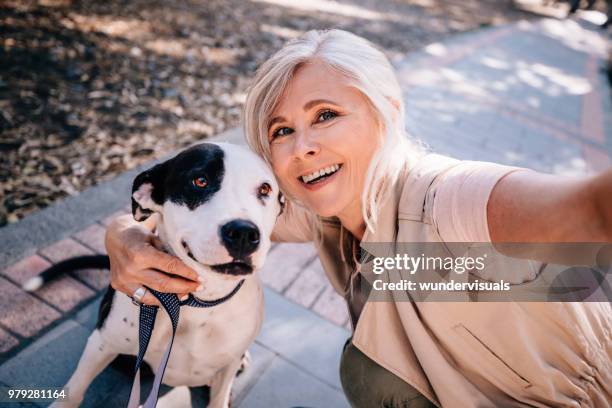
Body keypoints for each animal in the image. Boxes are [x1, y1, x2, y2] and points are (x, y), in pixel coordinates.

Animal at [22, 142, 284, 406]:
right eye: (200, 181)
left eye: (265, 189)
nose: (243, 233)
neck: (199, 303)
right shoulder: (102, 343)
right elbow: (74, 389)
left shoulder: (227, 365)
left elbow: (219, 396)